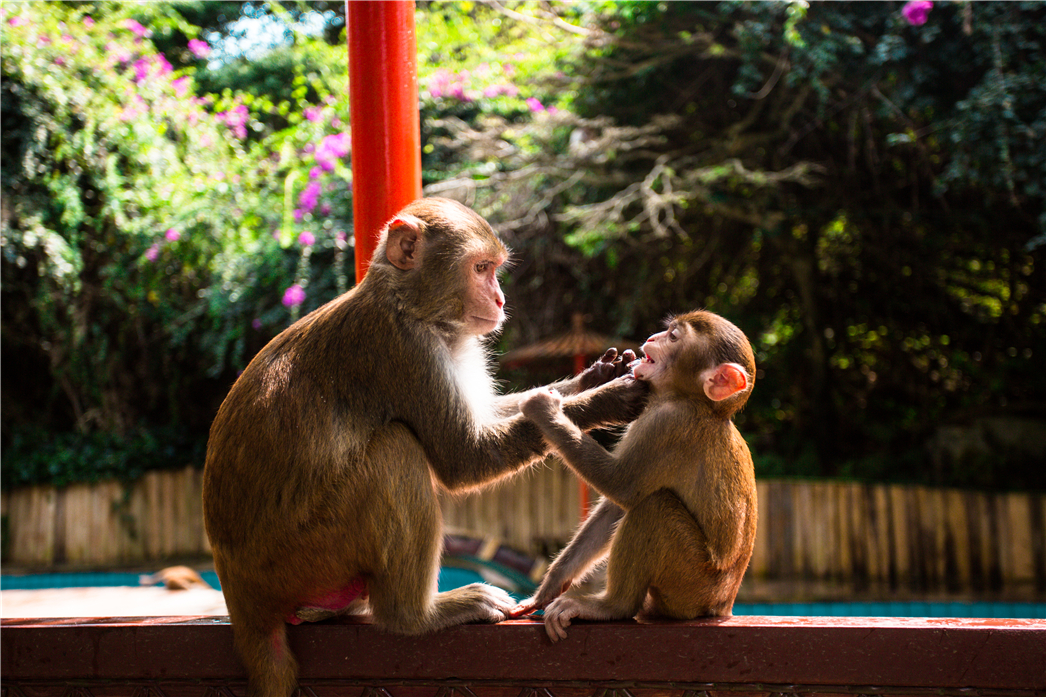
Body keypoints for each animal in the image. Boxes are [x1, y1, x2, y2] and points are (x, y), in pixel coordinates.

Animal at [201, 196, 644, 694]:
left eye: (494, 270)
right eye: (481, 268)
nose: (500, 300)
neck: (408, 304)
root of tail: (240, 590)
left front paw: (594, 377)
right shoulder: (405, 349)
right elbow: (464, 458)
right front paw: (607, 398)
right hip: (306, 555)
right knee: (396, 449)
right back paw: (417, 615)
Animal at [516, 309, 757, 640]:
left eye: (673, 337)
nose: (652, 338)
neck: (691, 400)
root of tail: (721, 606)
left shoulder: (668, 424)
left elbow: (622, 487)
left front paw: (545, 409)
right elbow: (616, 507)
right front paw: (551, 584)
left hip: (692, 583)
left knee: (654, 507)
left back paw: (613, 606)